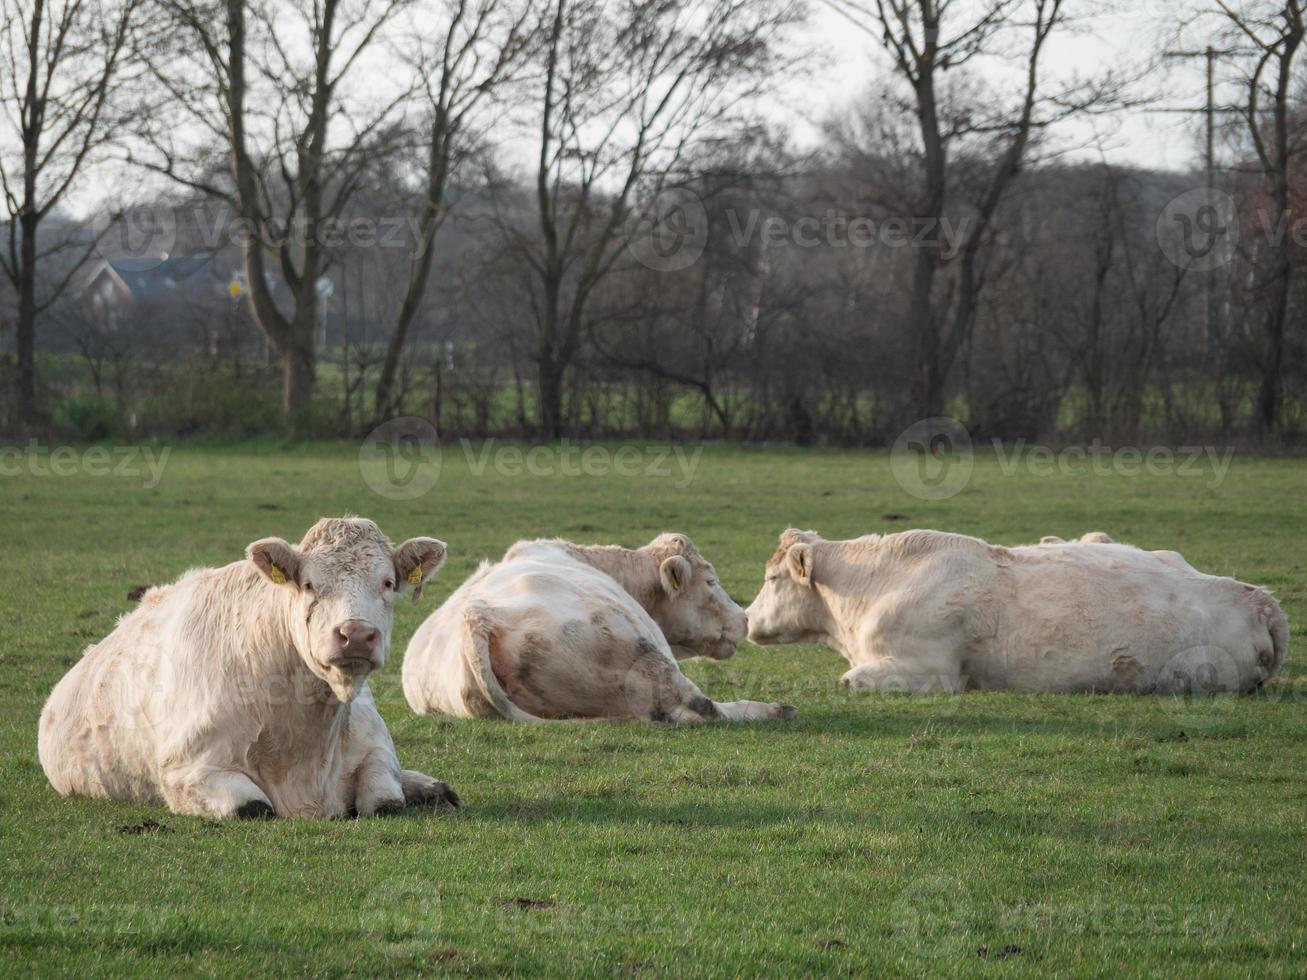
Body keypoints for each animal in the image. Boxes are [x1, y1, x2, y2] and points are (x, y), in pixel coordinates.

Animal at [39, 517, 460, 825]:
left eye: (387, 582)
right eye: (310, 585)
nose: (355, 634)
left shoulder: (375, 745)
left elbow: (387, 799)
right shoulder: (188, 770)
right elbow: (254, 808)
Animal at [402, 533, 794, 726]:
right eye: (711, 582)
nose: (744, 618)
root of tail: (478, 617)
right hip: (646, 660)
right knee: (699, 710)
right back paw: (775, 709)